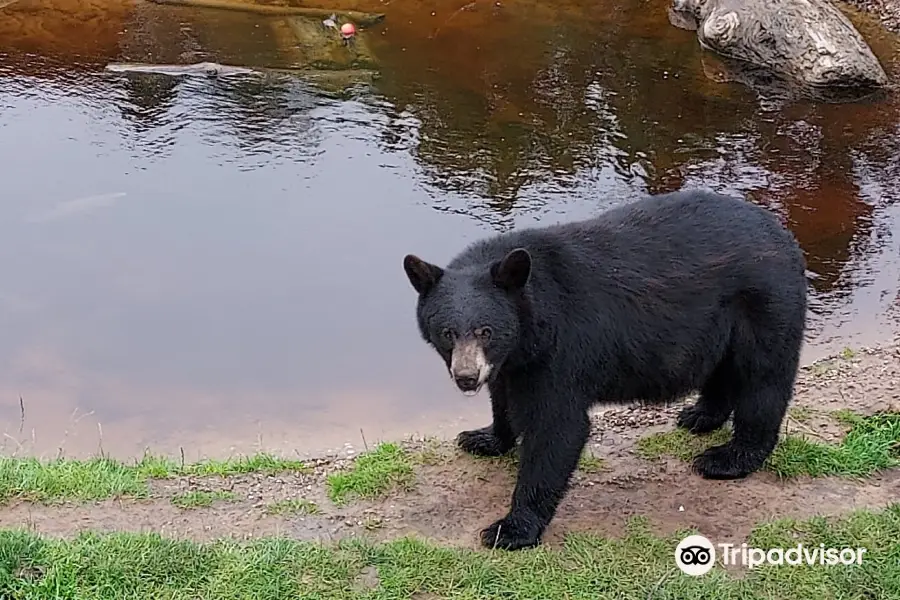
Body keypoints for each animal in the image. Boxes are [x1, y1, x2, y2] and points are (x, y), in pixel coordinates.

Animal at [402, 188, 808, 548]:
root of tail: (784, 233)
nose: (466, 377)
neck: (530, 323)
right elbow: (502, 396)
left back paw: (729, 458)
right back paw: (699, 415)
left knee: (763, 381)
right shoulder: (512, 360)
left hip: (765, 305)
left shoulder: (560, 349)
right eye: (447, 332)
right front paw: (484, 437)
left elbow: (557, 428)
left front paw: (511, 528)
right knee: (724, 371)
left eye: (485, 330)